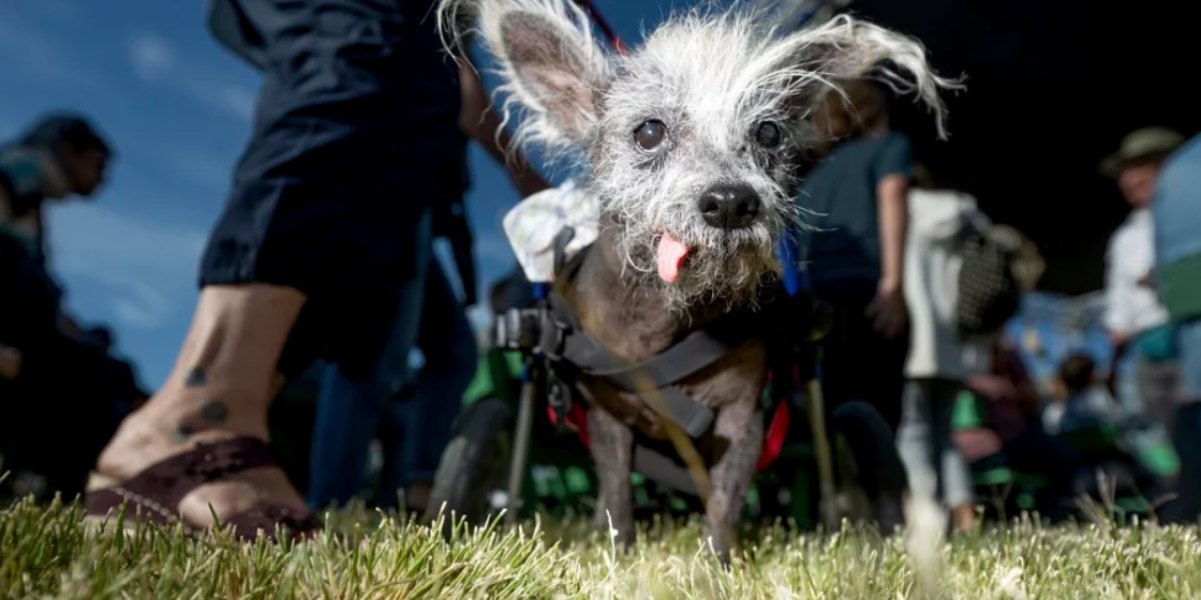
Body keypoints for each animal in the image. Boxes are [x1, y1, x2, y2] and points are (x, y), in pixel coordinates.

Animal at [441, 1, 955, 561]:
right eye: (649, 131)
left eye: (768, 134)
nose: (730, 201)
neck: (669, 319)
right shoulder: (606, 420)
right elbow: (616, 496)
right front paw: (619, 555)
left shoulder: (744, 421)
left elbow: (725, 503)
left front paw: (714, 565)